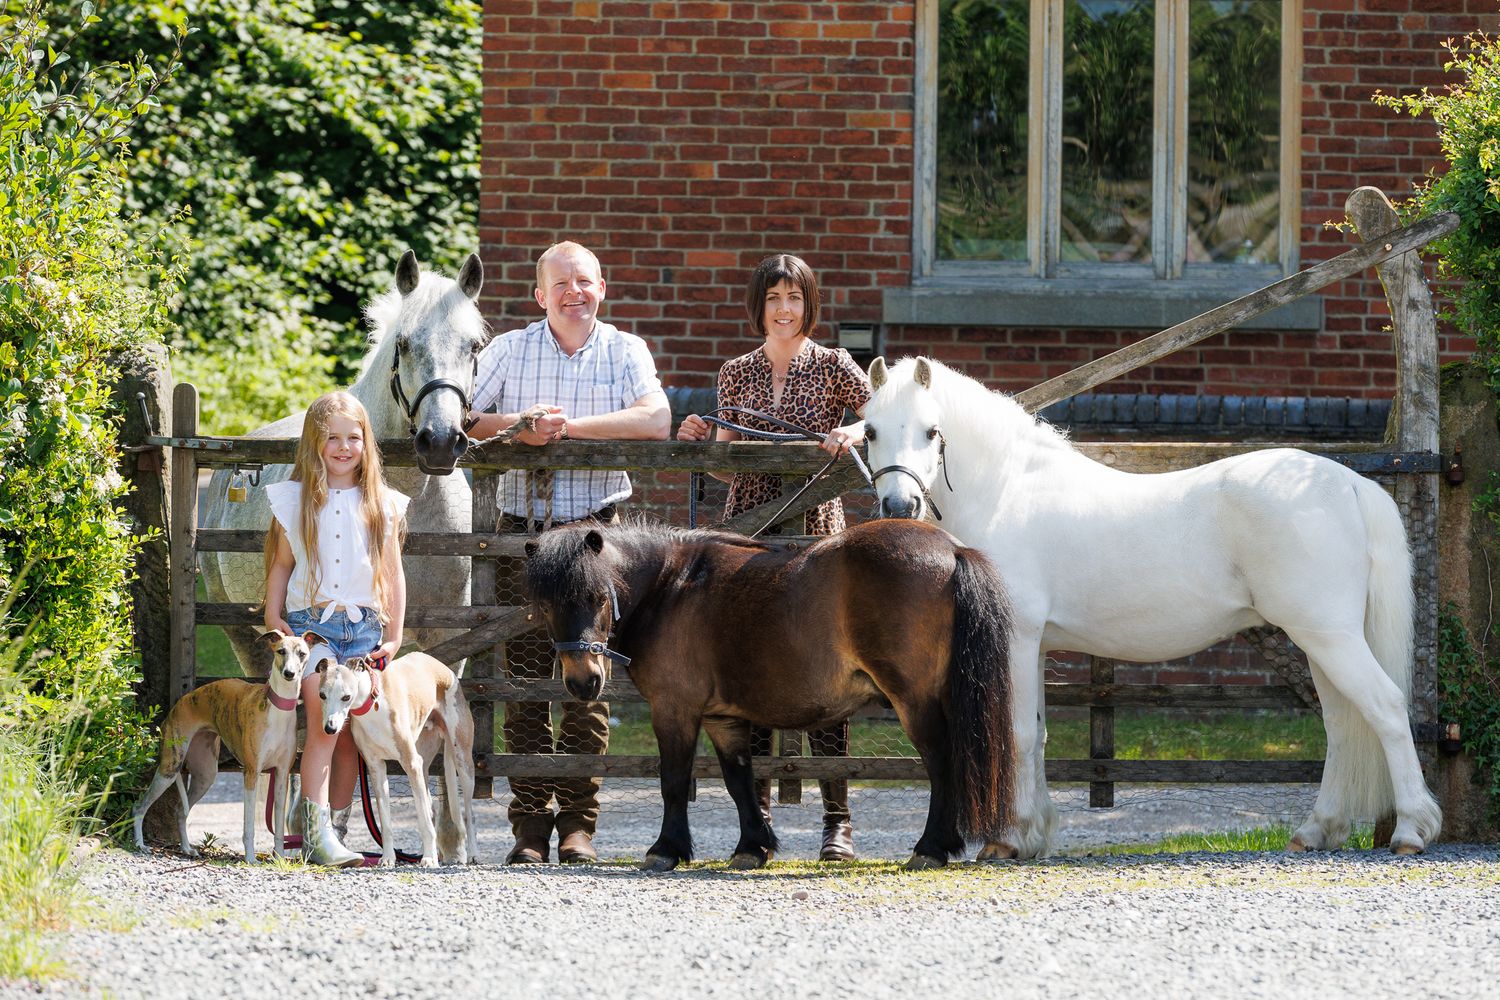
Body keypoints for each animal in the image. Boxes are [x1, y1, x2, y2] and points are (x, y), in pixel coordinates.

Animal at [522, 518, 1017, 871]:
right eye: (545, 605)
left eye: (597, 596)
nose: (583, 682)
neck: (671, 585)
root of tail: (952, 549)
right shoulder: (722, 719)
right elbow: (739, 780)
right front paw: (752, 846)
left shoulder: (674, 709)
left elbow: (674, 781)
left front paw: (665, 850)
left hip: (913, 701)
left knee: (942, 762)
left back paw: (931, 847)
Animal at [860, 356, 1444, 859]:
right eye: (869, 431)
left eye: (931, 430)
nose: (899, 506)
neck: (1008, 491)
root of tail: (1349, 482)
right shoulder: (1039, 645)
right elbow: (1041, 736)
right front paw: (1036, 836)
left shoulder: (1020, 638)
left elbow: (1021, 735)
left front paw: (1009, 842)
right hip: (1322, 640)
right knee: (1343, 725)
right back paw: (1317, 830)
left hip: (1327, 635)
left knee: (1386, 709)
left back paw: (1412, 830)